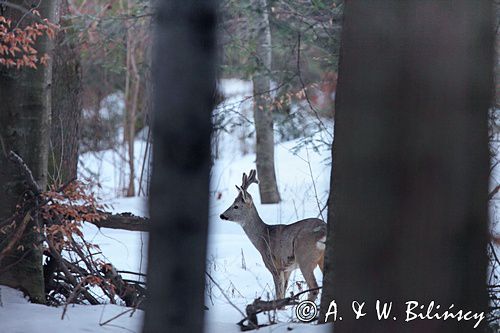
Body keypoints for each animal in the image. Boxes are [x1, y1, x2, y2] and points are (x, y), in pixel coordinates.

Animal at [221, 169, 326, 300]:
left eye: (236, 206)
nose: (222, 215)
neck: (263, 237)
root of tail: (324, 230)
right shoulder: (287, 269)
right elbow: (283, 293)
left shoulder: (274, 265)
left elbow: (279, 294)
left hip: (304, 256)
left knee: (314, 288)